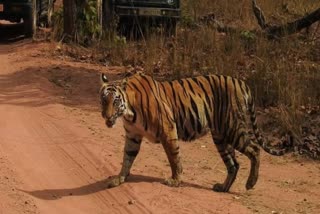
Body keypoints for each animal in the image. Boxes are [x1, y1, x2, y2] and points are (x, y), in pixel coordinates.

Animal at [99, 72, 288, 192]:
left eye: (115, 101)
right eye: (103, 100)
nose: (105, 116)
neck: (128, 112)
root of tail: (242, 82)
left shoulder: (168, 130)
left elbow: (174, 158)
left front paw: (175, 180)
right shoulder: (133, 136)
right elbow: (127, 158)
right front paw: (119, 179)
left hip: (233, 128)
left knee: (254, 149)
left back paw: (250, 183)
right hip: (220, 136)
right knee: (234, 164)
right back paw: (222, 188)